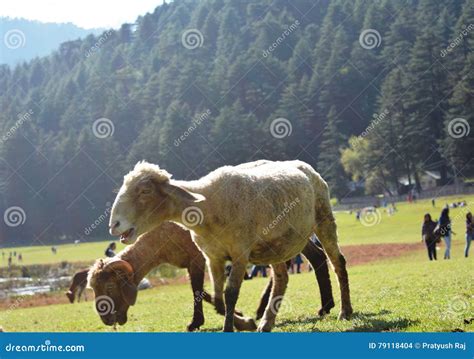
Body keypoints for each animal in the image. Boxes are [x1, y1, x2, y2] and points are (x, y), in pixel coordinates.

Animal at [88, 224, 260, 334]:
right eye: (94, 289)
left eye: (110, 286)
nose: (106, 320)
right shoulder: (188, 263)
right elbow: (201, 292)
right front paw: (237, 313)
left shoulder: (197, 258)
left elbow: (197, 291)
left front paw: (243, 322)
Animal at [107, 159, 352, 334]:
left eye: (144, 191)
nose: (114, 225)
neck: (207, 207)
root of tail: (304, 164)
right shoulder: (212, 256)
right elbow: (218, 298)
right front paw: (245, 322)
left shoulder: (240, 253)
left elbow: (231, 293)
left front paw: (229, 328)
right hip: (278, 244)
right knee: (283, 277)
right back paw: (267, 322)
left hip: (323, 218)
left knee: (338, 262)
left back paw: (345, 311)